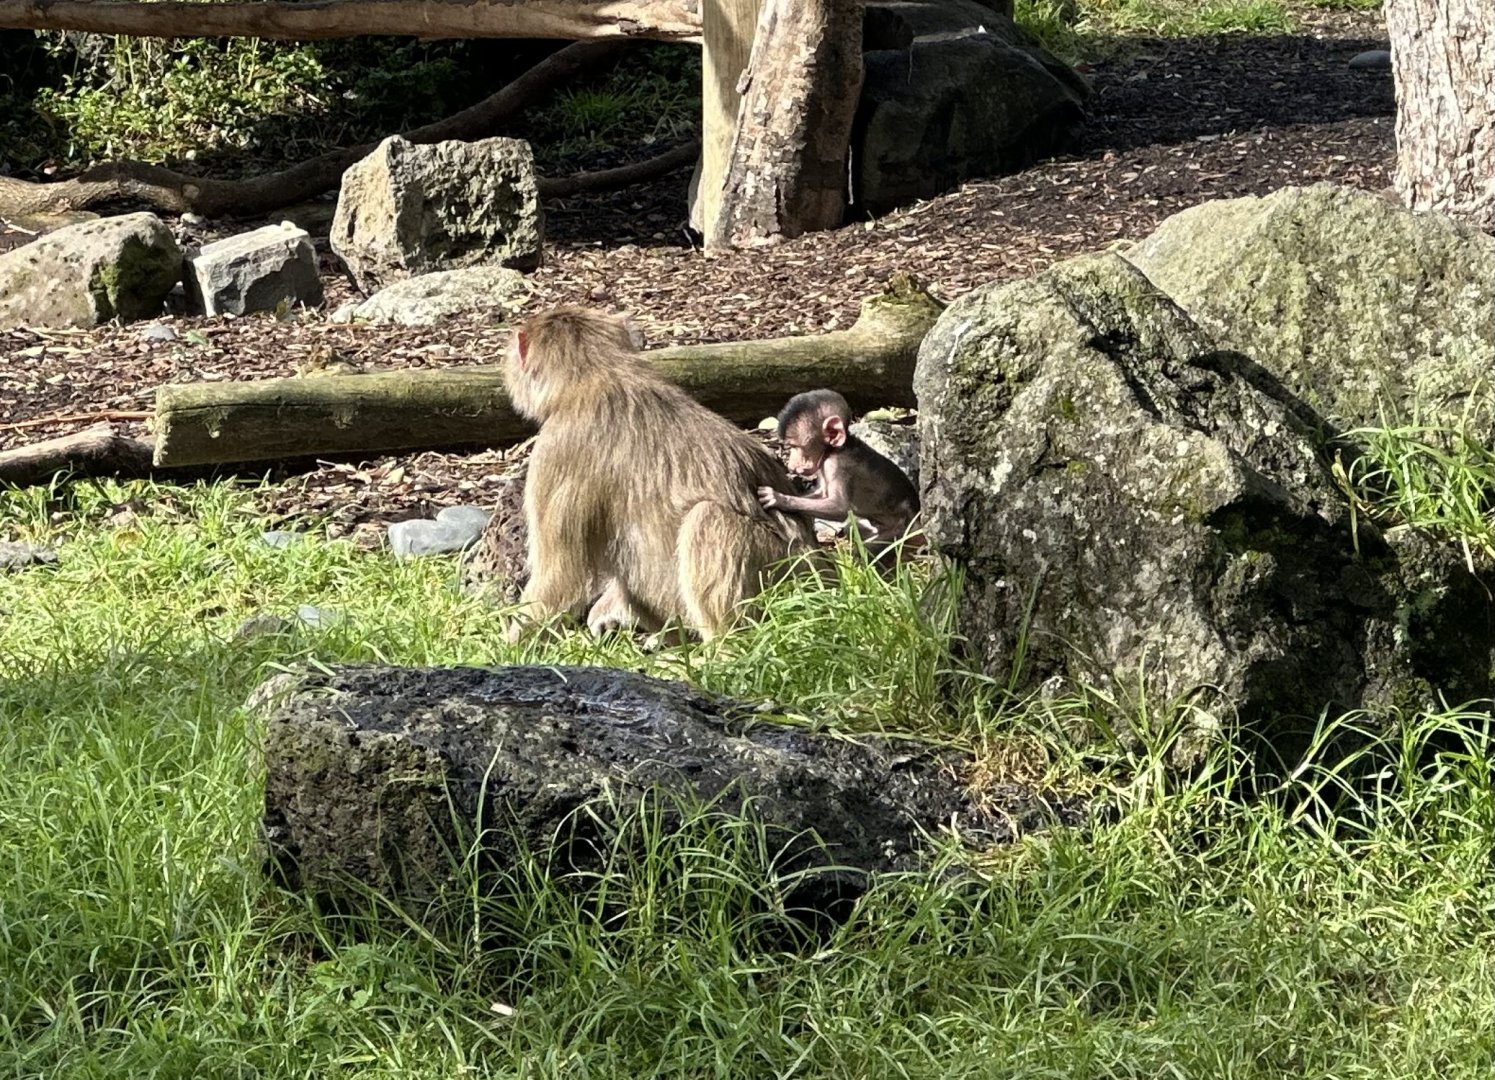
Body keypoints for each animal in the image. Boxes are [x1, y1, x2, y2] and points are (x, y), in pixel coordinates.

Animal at [501, 306, 818, 643]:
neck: (600, 376)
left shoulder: (556, 449)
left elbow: (561, 576)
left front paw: (510, 646)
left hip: (782, 577)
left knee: (708, 518)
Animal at [755, 389, 923, 557]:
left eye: (795, 446)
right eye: (790, 447)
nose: (791, 466)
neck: (836, 449)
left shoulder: (837, 466)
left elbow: (840, 507)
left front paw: (778, 498)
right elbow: (822, 493)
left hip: (903, 531)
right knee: (853, 528)